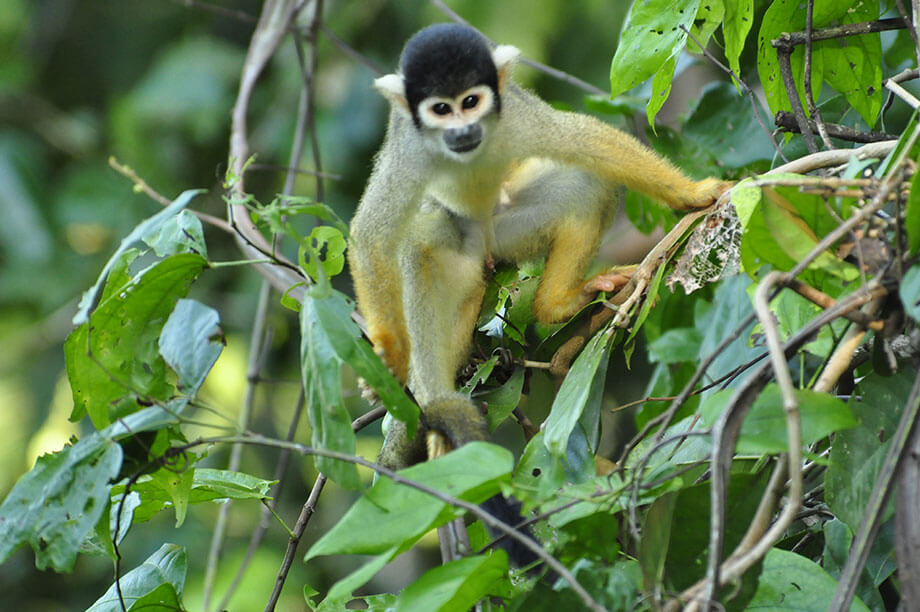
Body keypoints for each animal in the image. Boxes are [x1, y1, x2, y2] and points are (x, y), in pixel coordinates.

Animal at [348, 23, 729, 469]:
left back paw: (557, 303)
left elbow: (585, 139)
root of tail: (488, 252)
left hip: (510, 234)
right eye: (441, 109)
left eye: (470, 102)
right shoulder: (410, 148)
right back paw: (438, 401)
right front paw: (392, 356)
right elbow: (371, 235)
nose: (462, 130)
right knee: (422, 243)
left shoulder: (514, 115)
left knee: (584, 182)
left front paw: (692, 194)